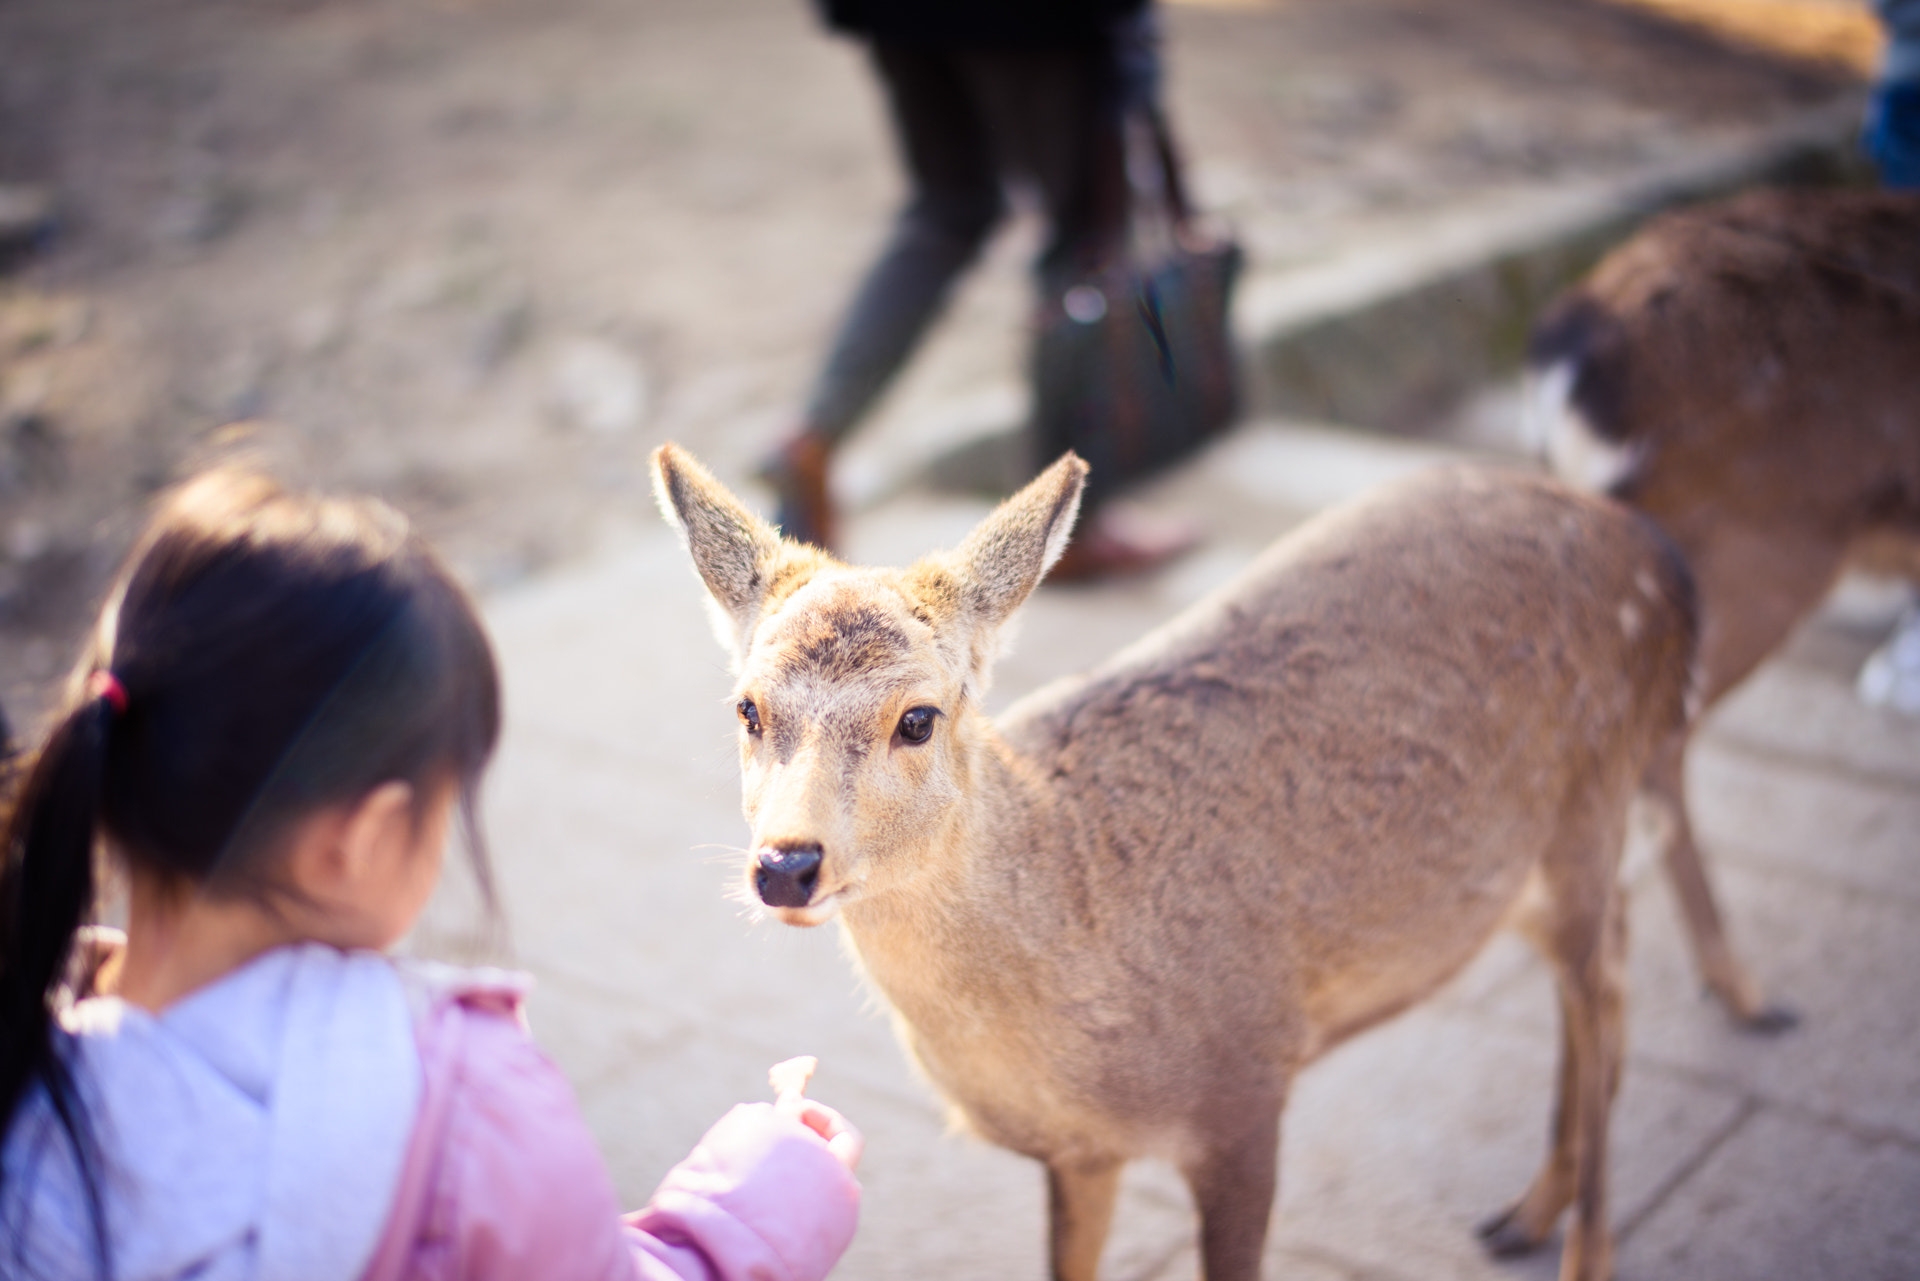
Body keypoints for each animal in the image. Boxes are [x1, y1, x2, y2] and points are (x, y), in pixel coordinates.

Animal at [648, 443, 1697, 1281]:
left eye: (918, 716)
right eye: (747, 707)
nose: (787, 863)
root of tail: (1650, 545)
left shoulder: (1246, 1085)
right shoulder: (1080, 1153)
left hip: (1593, 798)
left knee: (1607, 980)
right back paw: (1527, 1211)